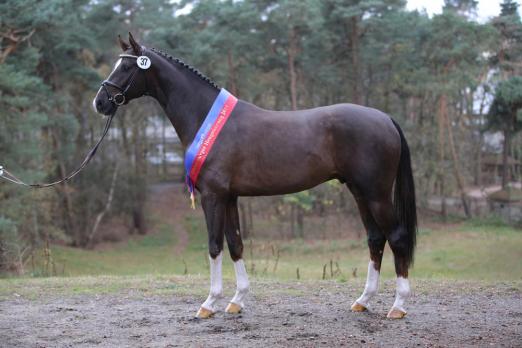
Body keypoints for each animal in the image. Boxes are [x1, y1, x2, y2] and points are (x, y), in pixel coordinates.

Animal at [92, 34, 414, 320]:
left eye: (126, 67)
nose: (100, 103)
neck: (207, 118)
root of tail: (385, 118)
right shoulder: (230, 197)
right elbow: (235, 243)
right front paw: (237, 301)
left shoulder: (213, 196)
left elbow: (214, 245)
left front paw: (209, 303)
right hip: (360, 193)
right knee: (375, 239)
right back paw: (363, 301)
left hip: (376, 194)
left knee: (396, 237)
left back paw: (398, 306)